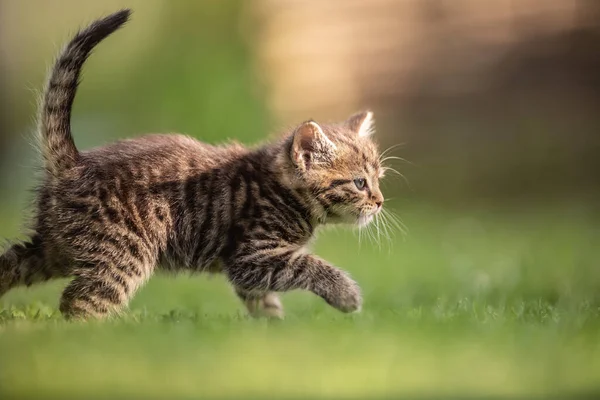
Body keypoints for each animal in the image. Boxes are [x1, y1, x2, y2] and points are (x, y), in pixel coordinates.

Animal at [0, 9, 384, 320]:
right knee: (78, 302)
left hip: (55, 248)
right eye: (359, 183)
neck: (284, 192)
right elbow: (307, 266)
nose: (380, 202)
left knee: (11, 264)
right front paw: (347, 296)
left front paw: (273, 327)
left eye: (379, 179)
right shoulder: (252, 255)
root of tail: (73, 164)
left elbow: (263, 299)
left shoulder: (254, 269)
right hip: (123, 252)